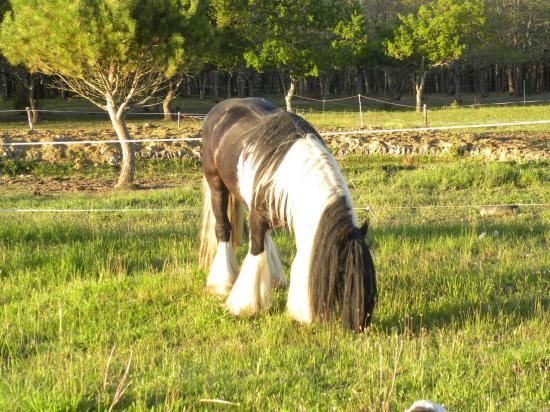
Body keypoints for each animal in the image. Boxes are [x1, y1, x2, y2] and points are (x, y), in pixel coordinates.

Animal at [197, 97, 376, 332]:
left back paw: (273, 279)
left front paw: (301, 313)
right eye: (343, 272)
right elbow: (255, 252)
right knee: (223, 229)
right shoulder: (258, 216)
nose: (359, 326)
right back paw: (222, 283)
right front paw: (245, 306)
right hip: (216, 184)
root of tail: (219, 109)